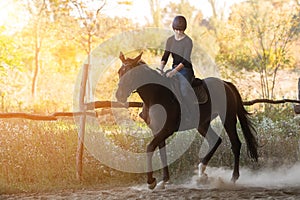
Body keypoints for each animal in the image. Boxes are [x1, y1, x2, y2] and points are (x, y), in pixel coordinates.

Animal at [115, 51, 258, 189]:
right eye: (119, 72)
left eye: (131, 74)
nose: (119, 95)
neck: (155, 95)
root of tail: (226, 84)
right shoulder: (157, 130)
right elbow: (162, 153)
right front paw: (164, 181)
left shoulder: (167, 130)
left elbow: (149, 148)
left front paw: (151, 181)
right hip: (202, 124)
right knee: (215, 140)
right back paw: (202, 172)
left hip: (227, 118)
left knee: (235, 144)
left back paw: (232, 178)